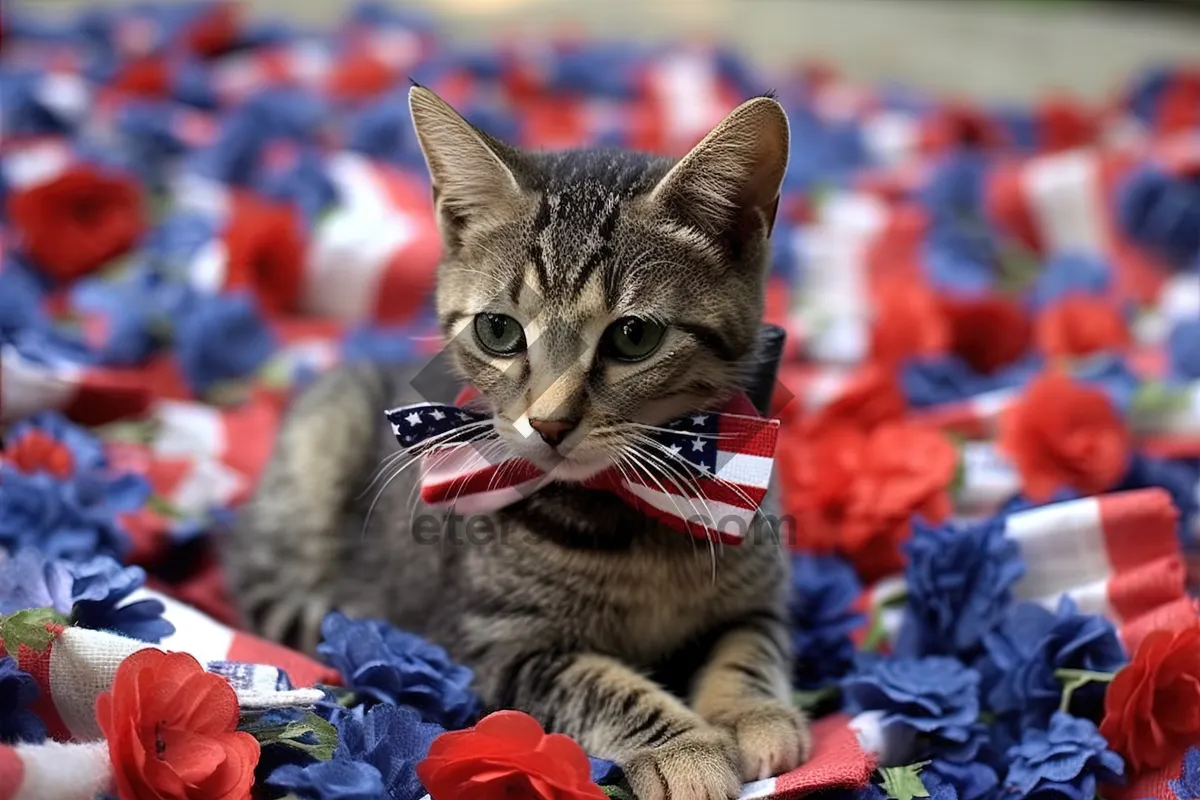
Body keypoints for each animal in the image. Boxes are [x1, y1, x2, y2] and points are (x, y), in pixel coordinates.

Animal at [223, 84, 806, 796]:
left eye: (634, 337)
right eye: (498, 330)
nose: (550, 423)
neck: (631, 509)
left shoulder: (760, 592)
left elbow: (751, 643)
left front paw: (753, 712)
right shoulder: (498, 647)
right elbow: (602, 687)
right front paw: (685, 749)